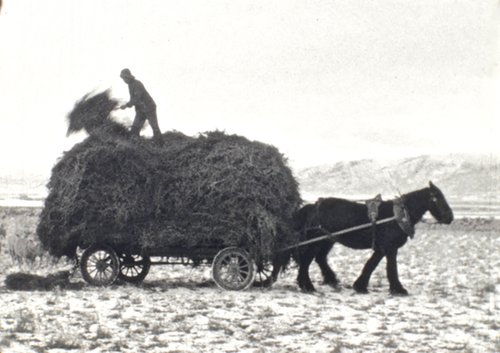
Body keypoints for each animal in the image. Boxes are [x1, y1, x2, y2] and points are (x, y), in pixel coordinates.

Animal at [288, 182, 452, 294]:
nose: (450, 217)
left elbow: (371, 265)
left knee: (319, 259)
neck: (398, 216)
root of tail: (313, 206)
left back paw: (328, 280)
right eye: (436, 198)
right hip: (318, 241)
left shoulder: (381, 249)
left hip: (327, 240)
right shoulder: (390, 248)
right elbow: (391, 268)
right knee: (307, 261)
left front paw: (360, 286)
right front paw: (399, 289)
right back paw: (307, 285)